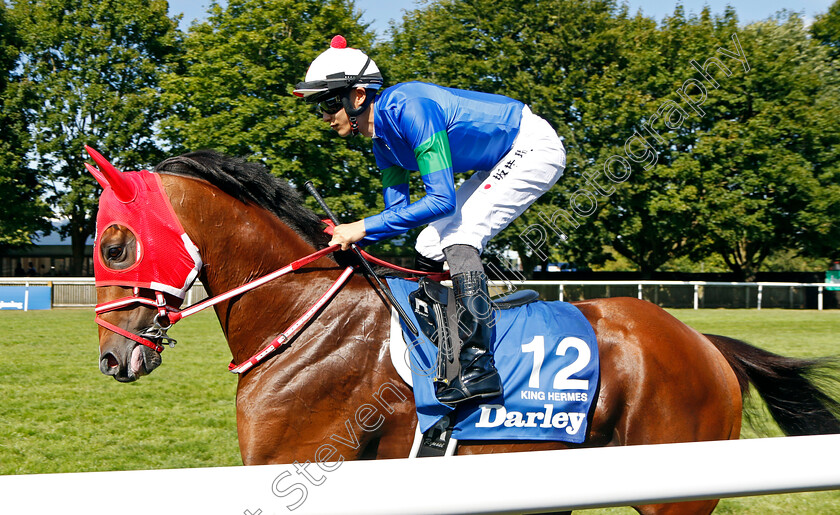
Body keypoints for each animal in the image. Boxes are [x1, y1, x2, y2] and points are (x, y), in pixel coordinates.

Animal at [92, 150, 840, 515]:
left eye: (116, 245)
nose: (111, 358)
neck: (306, 320)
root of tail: (708, 345)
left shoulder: (299, 466)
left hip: (674, 496)